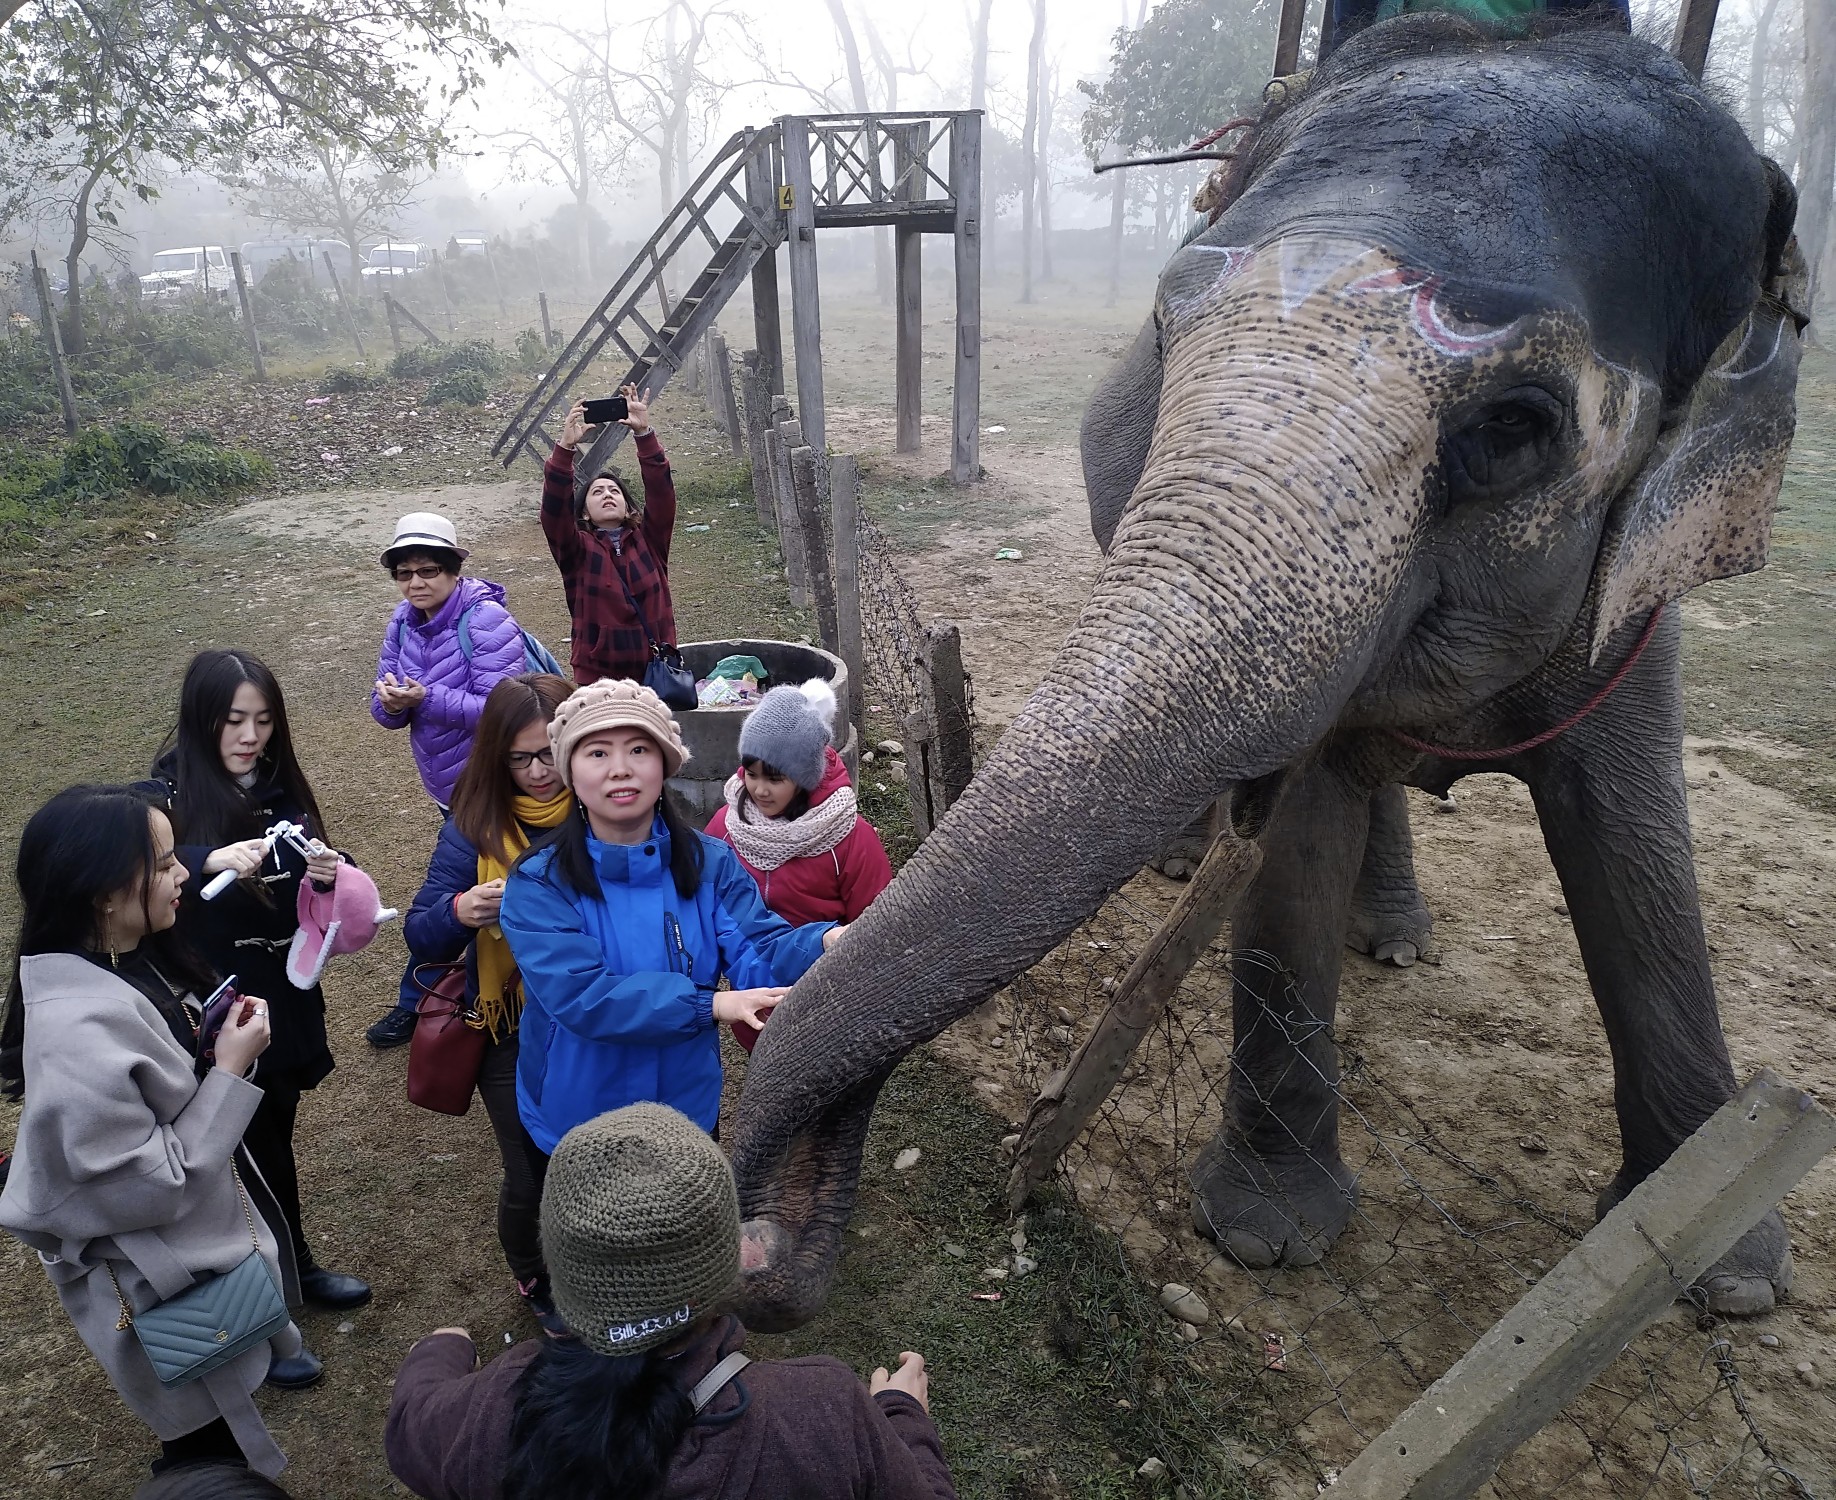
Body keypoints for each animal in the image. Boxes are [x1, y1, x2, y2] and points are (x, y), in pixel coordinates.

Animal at [730, 8, 1806, 1321]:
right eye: (1162, 336)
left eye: (1515, 425)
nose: (768, 1248)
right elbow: (1298, 829)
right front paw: (1268, 1239)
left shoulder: (1644, 592)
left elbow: (1636, 842)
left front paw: (1728, 1275)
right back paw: (1244, 880)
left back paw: (1394, 936)